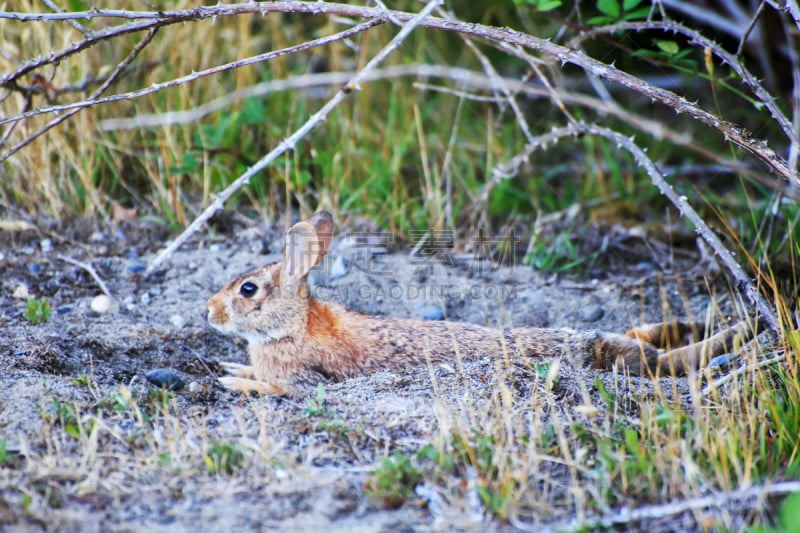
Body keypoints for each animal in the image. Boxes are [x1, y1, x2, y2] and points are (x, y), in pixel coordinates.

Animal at [205, 210, 756, 396]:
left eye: (247, 290)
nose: (208, 312)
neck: (292, 325)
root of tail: (595, 346)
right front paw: (230, 368)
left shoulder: (304, 381)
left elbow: (278, 389)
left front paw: (233, 382)